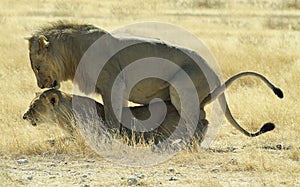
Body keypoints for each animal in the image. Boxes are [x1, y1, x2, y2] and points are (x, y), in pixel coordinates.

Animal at [27, 22, 282, 137]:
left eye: (37, 67)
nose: (41, 85)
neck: (75, 52)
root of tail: (214, 72)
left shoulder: (113, 86)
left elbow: (112, 118)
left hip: (180, 89)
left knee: (197, 118)